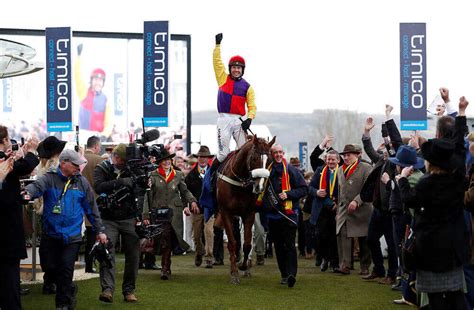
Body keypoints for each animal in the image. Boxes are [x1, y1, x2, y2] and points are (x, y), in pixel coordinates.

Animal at [214, 134, 274, 284]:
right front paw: (234, 273)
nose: (259, 187)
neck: (239, 182)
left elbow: (247, 244)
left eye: (269, 160)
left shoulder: (249, 213)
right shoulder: (226, 213)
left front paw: (243, 266)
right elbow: (232, 243)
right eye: (254, 158)